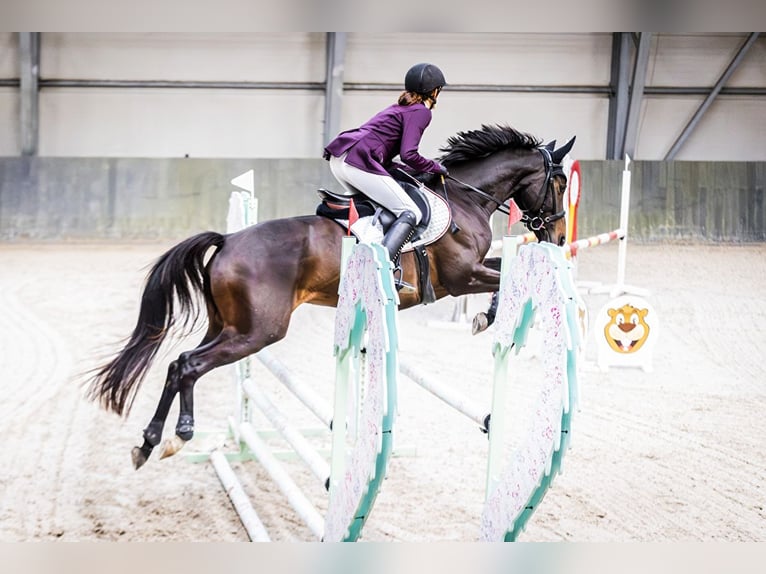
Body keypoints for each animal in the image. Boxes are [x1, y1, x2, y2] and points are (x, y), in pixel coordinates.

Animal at [87, 124, 576, 470]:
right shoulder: (461, 276)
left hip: (226, 325)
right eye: (559, 184)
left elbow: (506, 269)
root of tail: (227, 241)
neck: (464, 199)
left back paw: (150, 442)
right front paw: (486, 318)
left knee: (177, 365)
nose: (557, 235)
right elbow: (503, 276)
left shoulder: (471, 272)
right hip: (256, 333)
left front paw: (487, 317)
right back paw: (178, 435)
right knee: (189, 365)